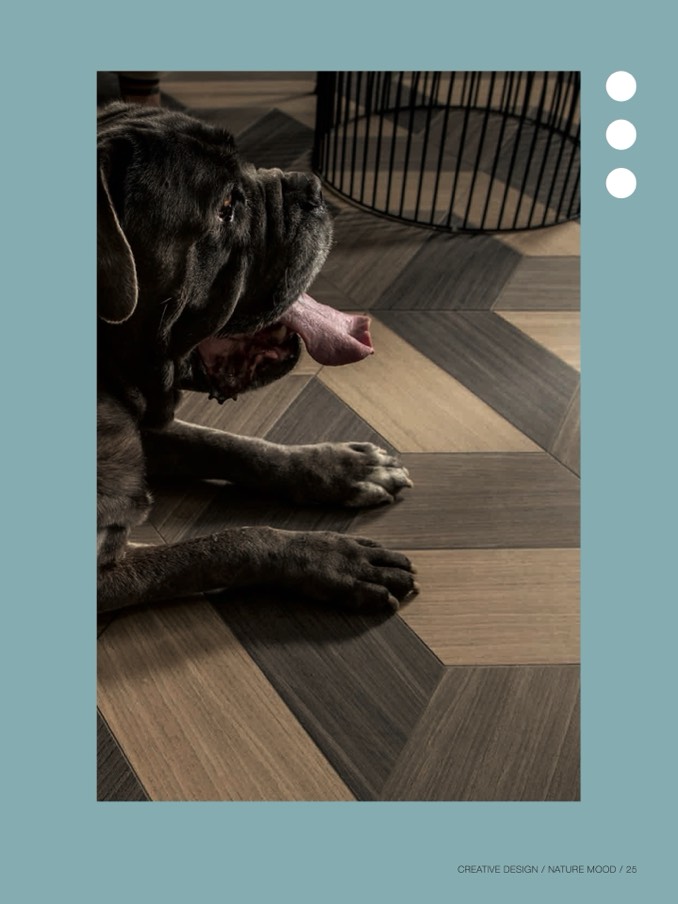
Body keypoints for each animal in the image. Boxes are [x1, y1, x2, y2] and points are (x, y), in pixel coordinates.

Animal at [97, 103, 418, 614]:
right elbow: (225, 545)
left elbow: (229, 444)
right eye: (225, 209)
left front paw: (341, 467)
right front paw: (331, 557)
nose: (311, 188)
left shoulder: (149, 427)